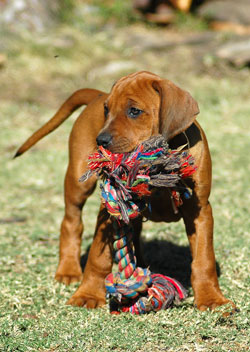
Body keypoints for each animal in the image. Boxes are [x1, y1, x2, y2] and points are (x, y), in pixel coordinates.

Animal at [15, 71, 232, 310]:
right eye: (107, 110)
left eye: (134, 111)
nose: (100, 141)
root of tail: (97, 95)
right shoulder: (109, 207)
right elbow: (97, 258)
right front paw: (88, 294)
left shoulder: (199, 210)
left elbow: (204, 259)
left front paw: (212, 299)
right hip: (78, 181)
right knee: (71, 221)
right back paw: (68, 270)